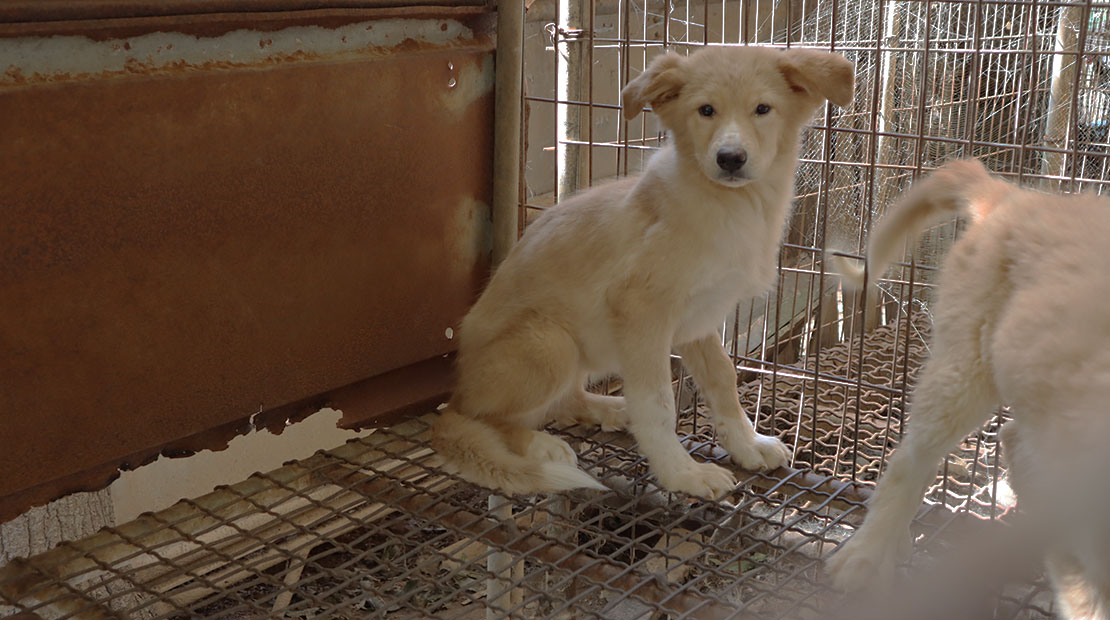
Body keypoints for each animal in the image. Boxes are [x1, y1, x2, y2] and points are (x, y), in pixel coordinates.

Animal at [428, 46, 852, 499]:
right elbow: (659, 405)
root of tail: (458, 390)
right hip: (550, 342)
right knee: (484, 417)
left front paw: (747, 444)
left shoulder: (698, 320)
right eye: (705, 110)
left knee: (566, 399)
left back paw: (609, 409)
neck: (731, 206)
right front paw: (682, 474)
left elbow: (723, 379)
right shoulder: (641, 313)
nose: (730, 159)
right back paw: (539, 443)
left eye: (763, 109)